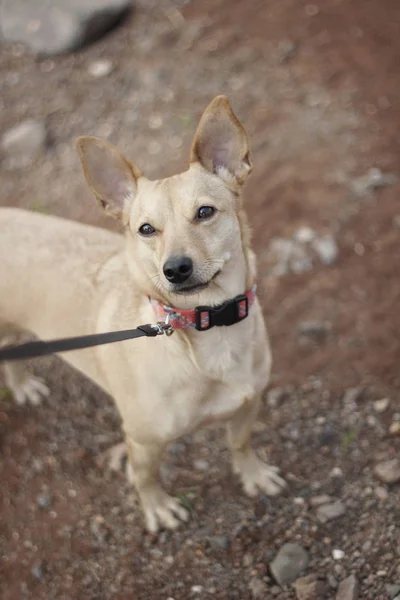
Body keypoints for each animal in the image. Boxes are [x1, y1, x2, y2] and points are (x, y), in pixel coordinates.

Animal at [1, 96, 286, 532]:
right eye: (146, 229)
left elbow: (240, 444)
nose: (176, 269)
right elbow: (145, 477)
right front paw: (157, 508)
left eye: (205, 212)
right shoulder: (143, 441)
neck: (208, 327)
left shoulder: (248, 404)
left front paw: (252, 475)